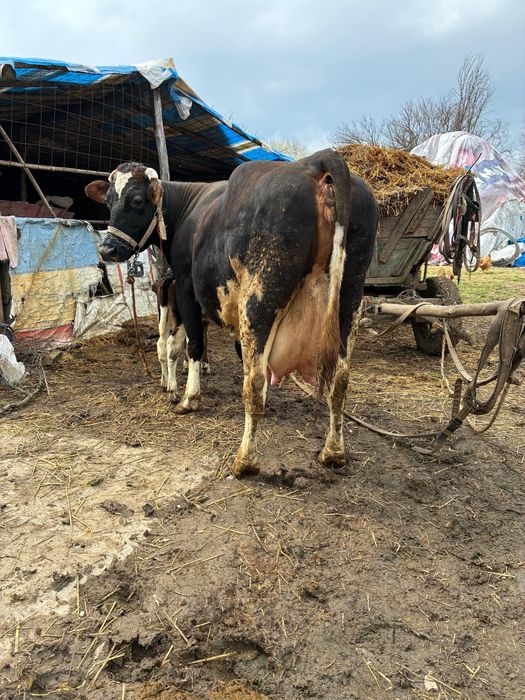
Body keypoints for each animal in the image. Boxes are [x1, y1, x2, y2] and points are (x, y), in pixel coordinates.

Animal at [86, 150, 378, 477]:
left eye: (136, 201)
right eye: (108, 201)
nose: (108, 250)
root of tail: (316, 160)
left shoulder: (186, 287)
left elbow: (192, 346)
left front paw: (188, 398)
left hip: (261, 295)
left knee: (255, 379)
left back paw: (245, 460)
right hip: (349, 296)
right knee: (339, 379)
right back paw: (333, 453)